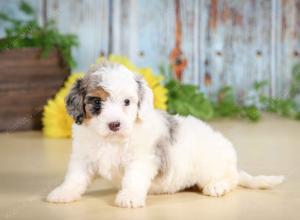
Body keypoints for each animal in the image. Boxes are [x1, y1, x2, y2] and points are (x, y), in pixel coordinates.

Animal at [46, 61, 284, 208]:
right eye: (97, 102)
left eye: (127, 102)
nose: (115, 124)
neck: (111, 141)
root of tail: (232, 164)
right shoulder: (83, 157)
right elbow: (75, 177)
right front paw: (63, 192)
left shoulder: (142, 159)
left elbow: (133, 178)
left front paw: (130, 197)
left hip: (211, 165)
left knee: (231, 179)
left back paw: (217, 185)